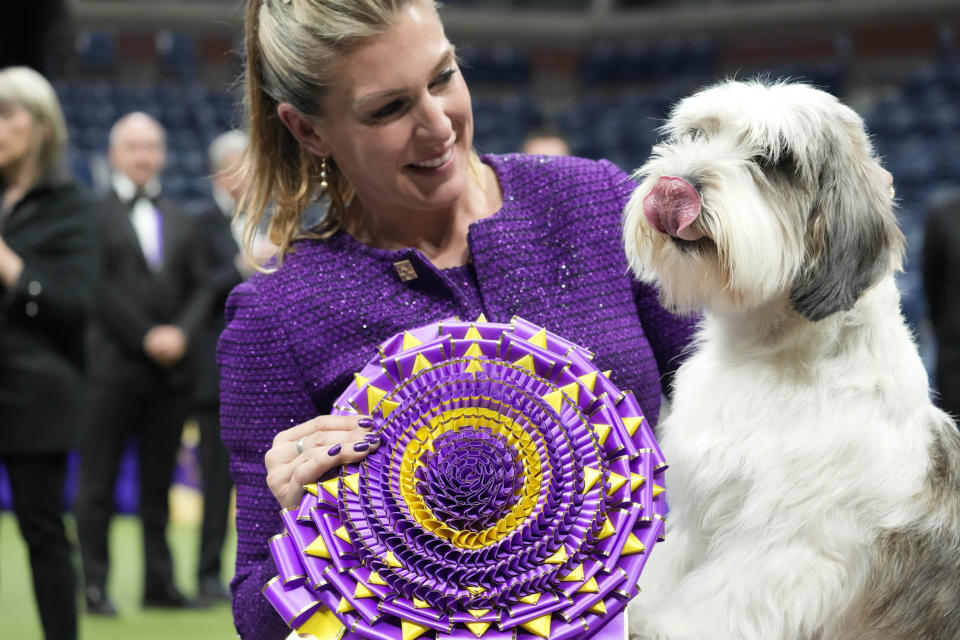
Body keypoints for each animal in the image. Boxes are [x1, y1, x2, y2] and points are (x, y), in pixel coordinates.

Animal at [624, 81, 960, 640]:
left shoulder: (786, 555)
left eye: (774, 161)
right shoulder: (696, 517)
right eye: (695, 136)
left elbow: (703, 611)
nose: (675, 187)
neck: (768, 354)